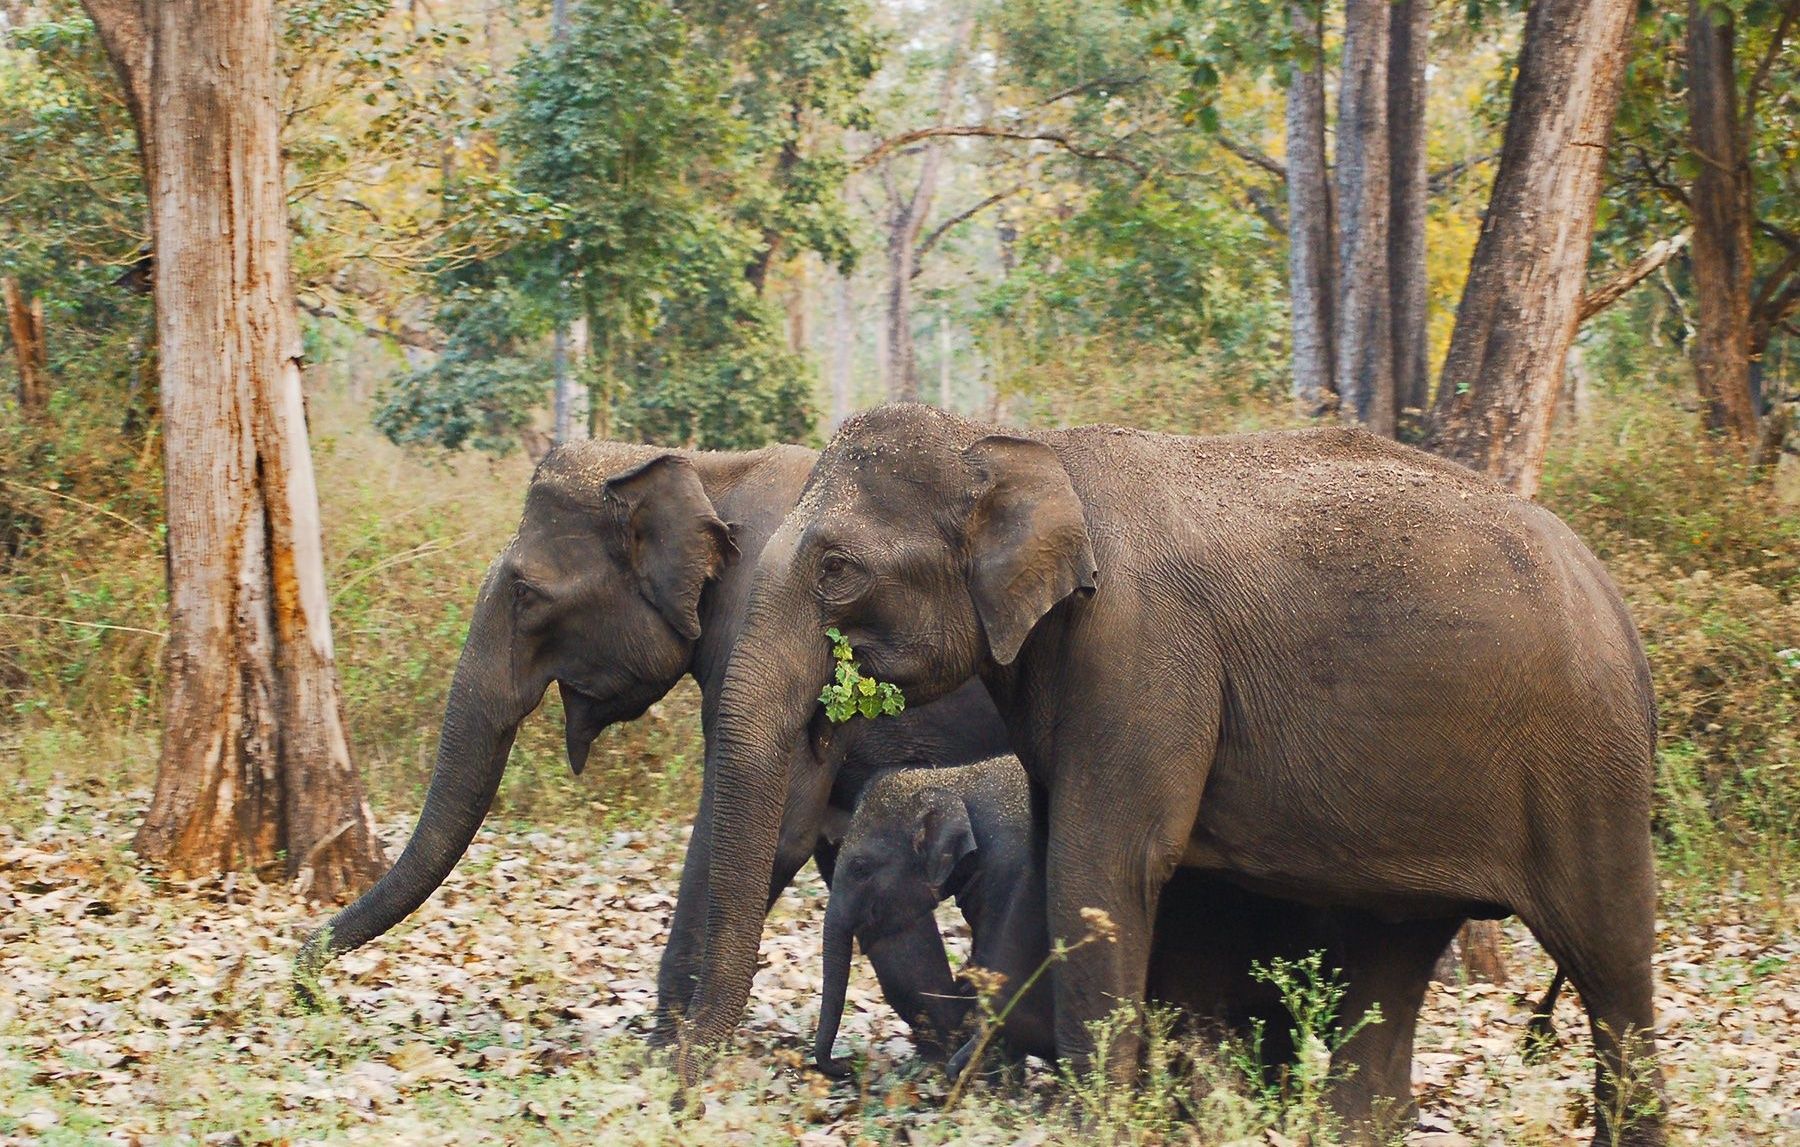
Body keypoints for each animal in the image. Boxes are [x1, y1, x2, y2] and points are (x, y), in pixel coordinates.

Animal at [293, 439, 1009, 1055]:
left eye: (525, 594)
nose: (308, 992)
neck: (701, 468)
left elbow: (772, 827)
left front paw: (665, 1053)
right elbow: (840, 855)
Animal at [676, 405, 1665, 1145]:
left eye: (839, 570)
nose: (698, 1088)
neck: (1020, 441)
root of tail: (1617, 601)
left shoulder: (1141, 649)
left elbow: (1103, 867)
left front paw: (1094, 1118)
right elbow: (1085, 865)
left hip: (1590, 766)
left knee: (1610, 960)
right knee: (1395, 953)